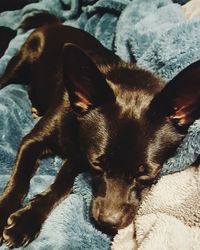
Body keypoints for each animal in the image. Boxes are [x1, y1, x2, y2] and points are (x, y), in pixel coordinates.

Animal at [0, 12, 199, 248]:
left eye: (147, 174)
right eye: (97, 164)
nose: (108, 222)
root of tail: (56, 23)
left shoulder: (78, 157)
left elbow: (62, 183)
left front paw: (27, 220)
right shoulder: (32, 142)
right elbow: (19, 178)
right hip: (20, 62)